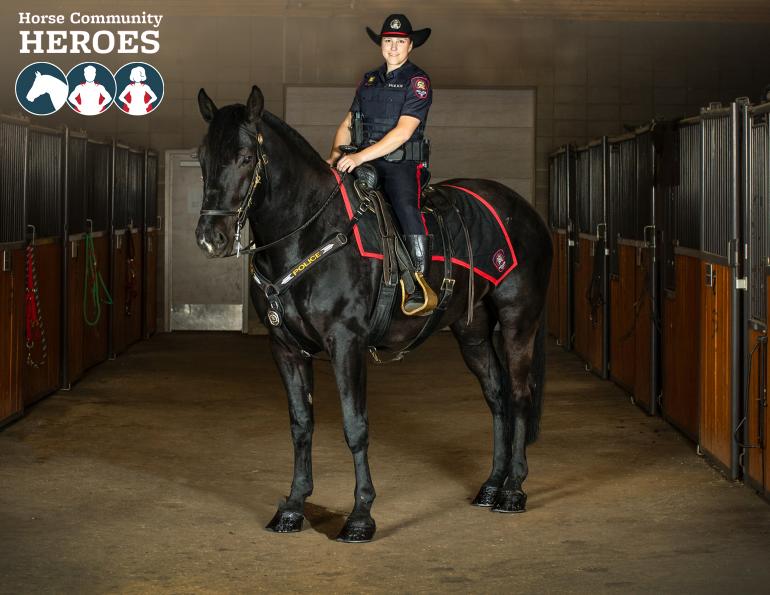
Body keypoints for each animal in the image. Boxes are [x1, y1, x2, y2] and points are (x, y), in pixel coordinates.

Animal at [195, 85, 553, 542]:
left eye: (244, 157)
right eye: (202, 158)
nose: (211, 238)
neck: (308, 231)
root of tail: (525, 211)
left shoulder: (347, 343)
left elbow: (355, 424)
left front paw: (360, 515)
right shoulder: (286, 348)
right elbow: (300, 425)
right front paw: (293, 507)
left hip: (517, 322)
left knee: (521, 395)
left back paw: (513, 490)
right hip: (472, 332)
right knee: (498, 396)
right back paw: (491, 485)